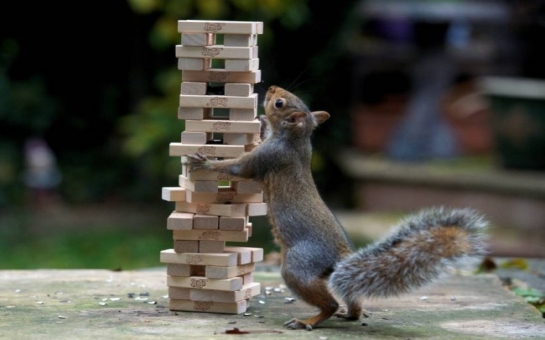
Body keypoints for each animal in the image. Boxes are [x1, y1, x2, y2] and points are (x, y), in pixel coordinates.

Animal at [185, 85, 486, 330]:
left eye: (280, 103)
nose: (270, 89)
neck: (295, 138)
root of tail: (341, 257)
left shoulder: (267, 158)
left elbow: (238, 168)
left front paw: (204, 162)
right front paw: (259, 122)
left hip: (298, 265)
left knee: (328, 302)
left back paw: (308, 321)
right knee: (351, 298)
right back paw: (352, 314)